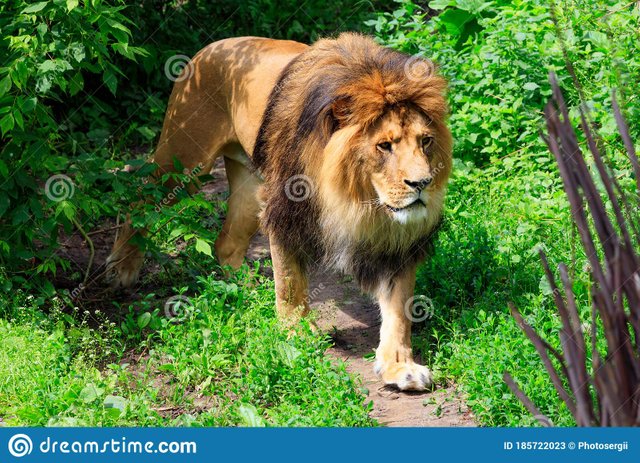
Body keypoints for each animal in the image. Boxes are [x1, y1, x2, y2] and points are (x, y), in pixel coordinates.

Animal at [107, 33, 452, 392]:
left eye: (425, 141)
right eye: (384, 145)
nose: (422, 183)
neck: (356, 196)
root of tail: (214, 46)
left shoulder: (399, 238)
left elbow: (399, 308)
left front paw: (401, 366)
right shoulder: (286, 210)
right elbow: (289, 280)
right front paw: (296, 332)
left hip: (248, 186)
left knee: (226, 244)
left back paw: (245, 293)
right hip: (184, 161)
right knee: (139, 203)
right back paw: (121, 269)